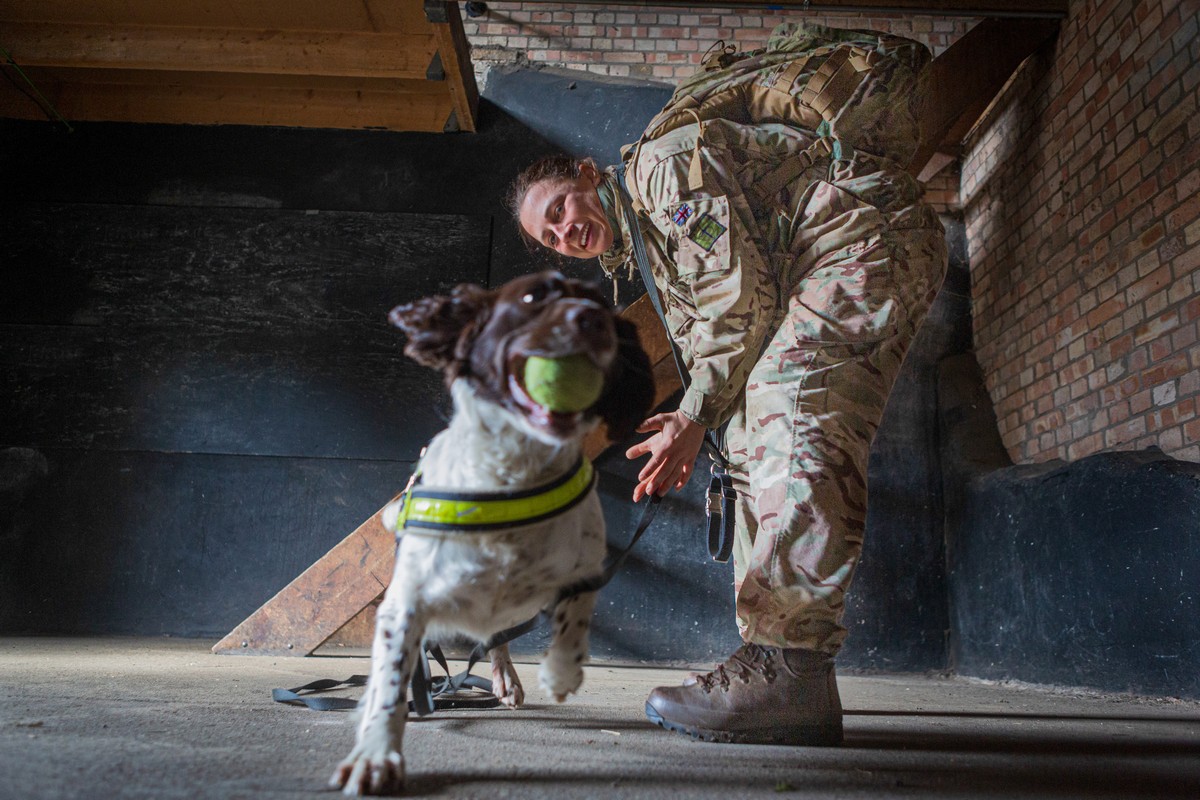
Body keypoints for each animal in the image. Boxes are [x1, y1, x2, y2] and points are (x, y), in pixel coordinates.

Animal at [331, 271, 657, 796]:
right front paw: (376, 754)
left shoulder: (587, 565)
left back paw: (508, 678)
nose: (591, 321)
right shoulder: (405, 604)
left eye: (604, 307)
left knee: (499, 638)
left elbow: (575, 615)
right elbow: (390, 684)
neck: (512, 479)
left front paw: (560, 671)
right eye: (532, 296)